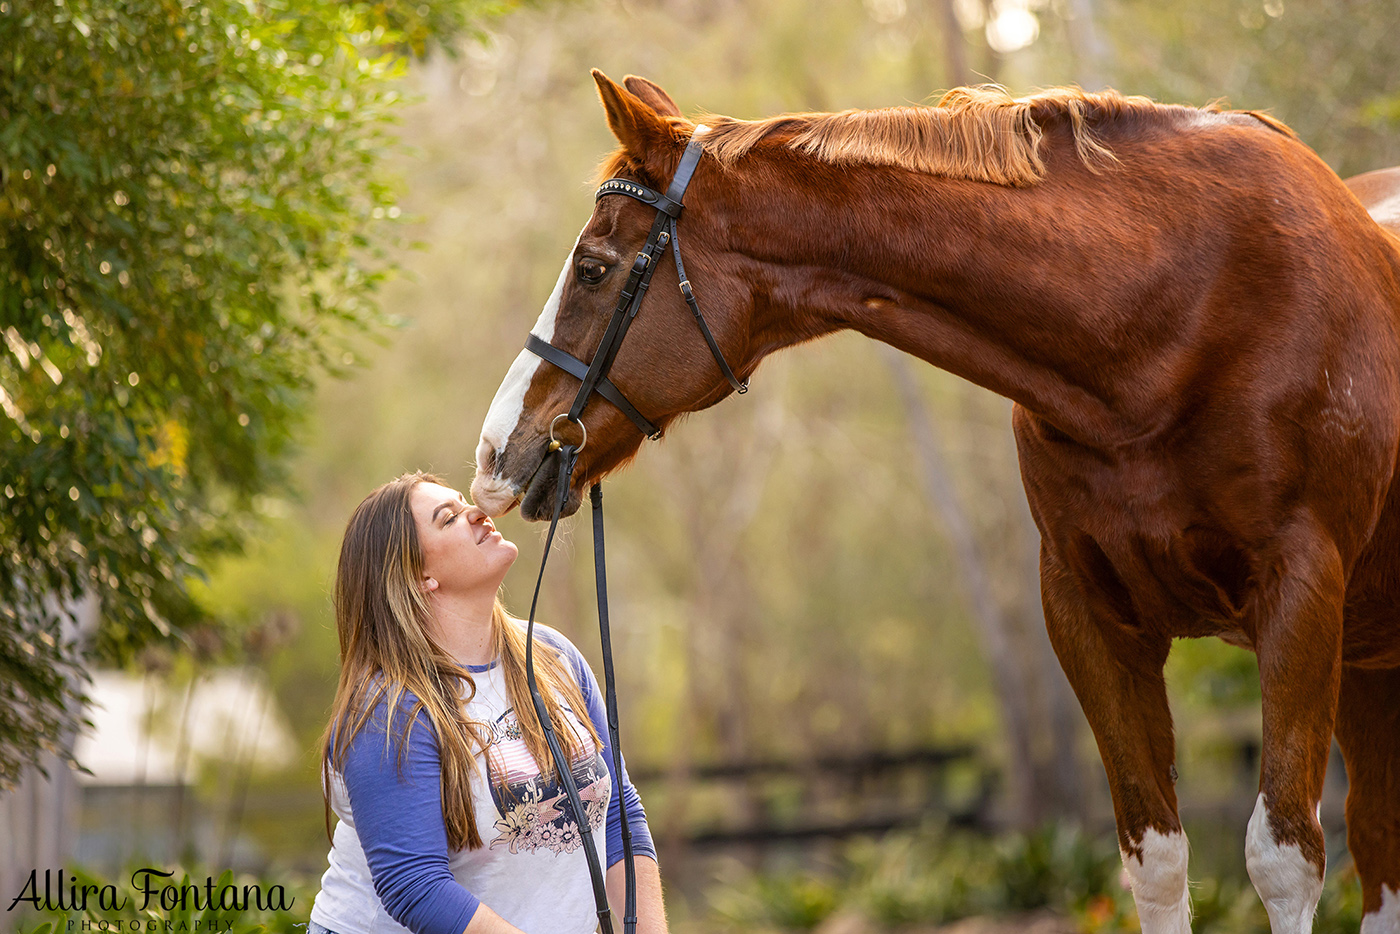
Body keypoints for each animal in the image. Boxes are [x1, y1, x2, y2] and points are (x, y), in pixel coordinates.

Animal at [470, 73, 1400, 934]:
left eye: (594, 268)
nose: (493, 455)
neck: (1171, 314)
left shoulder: (1298, 600)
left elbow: (1283, 860)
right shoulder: (1090, 615)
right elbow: (1158, 861)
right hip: (1365, 663)